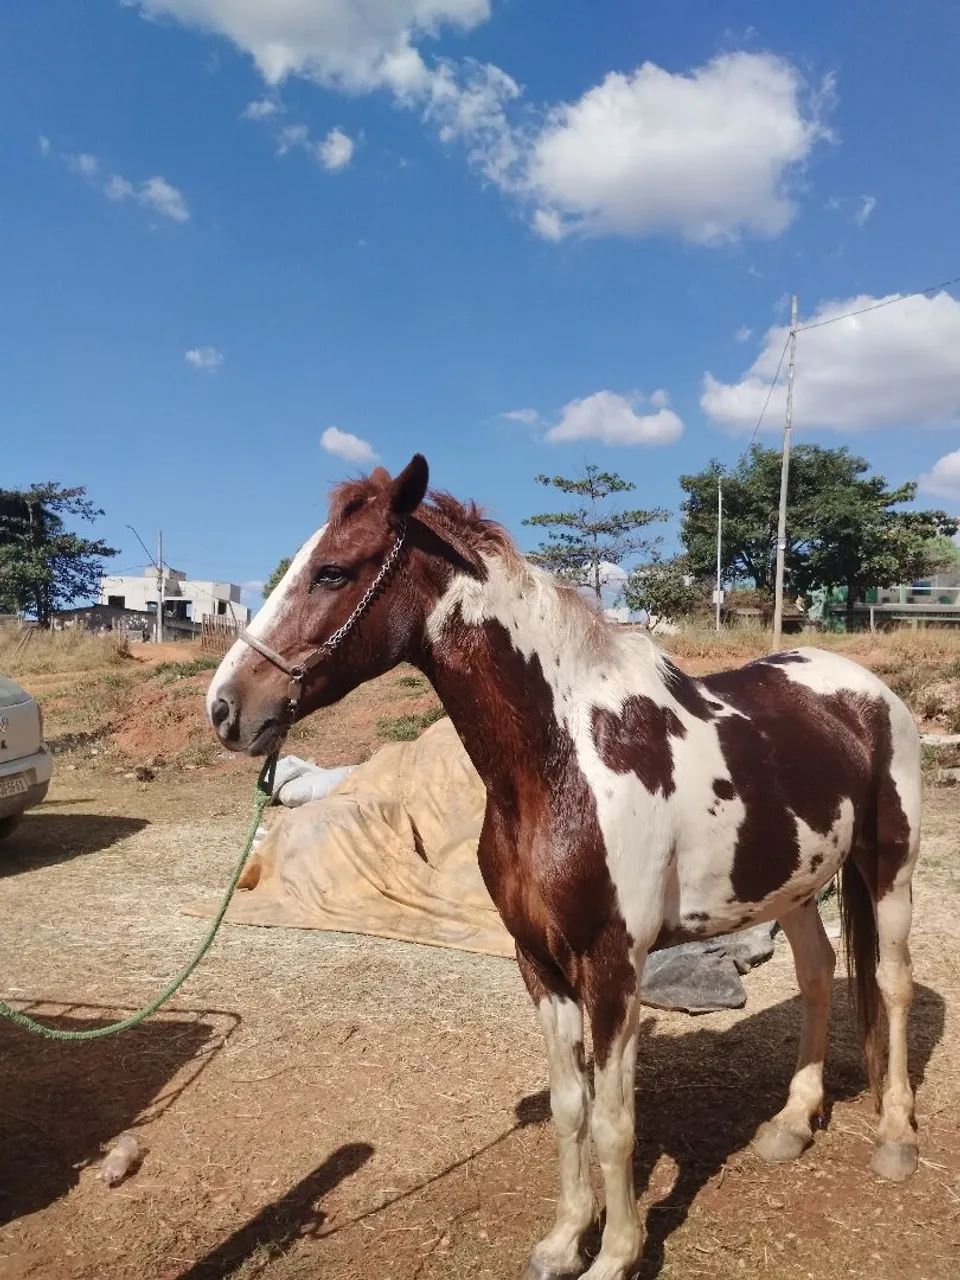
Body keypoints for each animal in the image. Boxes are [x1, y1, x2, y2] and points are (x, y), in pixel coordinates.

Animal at [207, 456, 921, 1280]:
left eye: (332, 571)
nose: (226, 708)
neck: (563, 763)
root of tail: (865, 690)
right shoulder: (538, 961)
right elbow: (569, 1105)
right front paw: (563, 1240)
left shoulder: (610, 967)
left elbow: (614, 1119)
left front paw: (616, 1255)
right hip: (794, 882)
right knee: (817, 974)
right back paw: (792, 1123)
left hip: (890, 869)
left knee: (892, 985)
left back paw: (896, 1137)